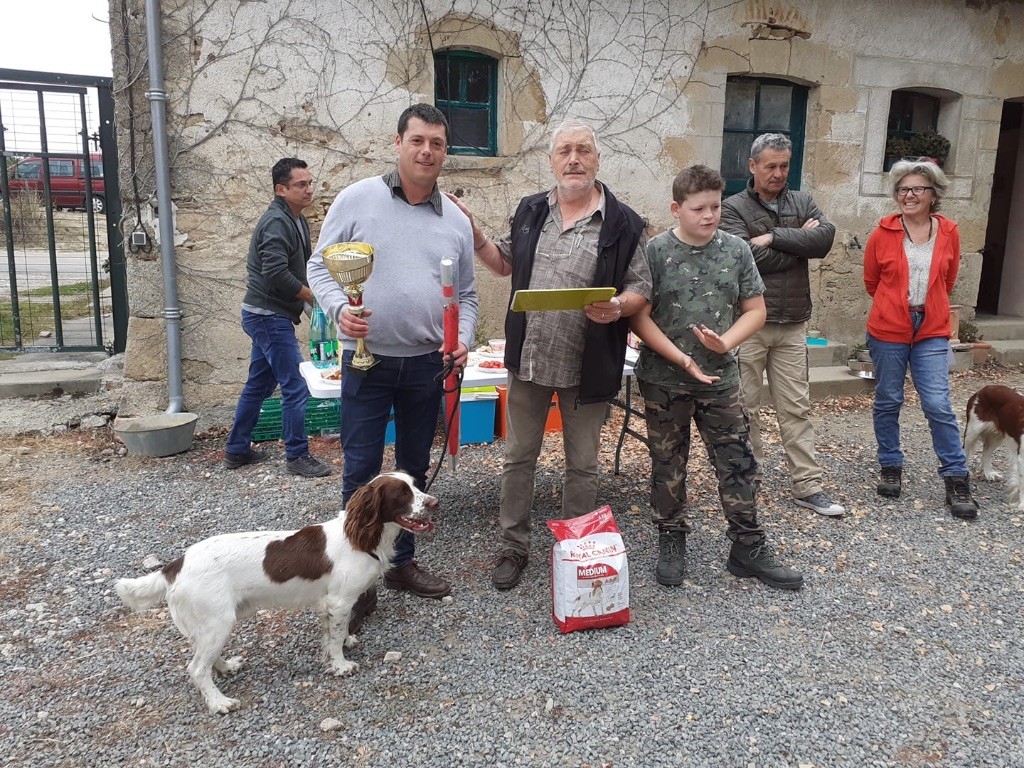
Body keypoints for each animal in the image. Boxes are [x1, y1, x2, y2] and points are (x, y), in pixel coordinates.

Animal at [116, 473, 436, 720]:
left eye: (415, 484)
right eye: (402, 493)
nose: (434, 502)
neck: (361, 538)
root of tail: (175, 565)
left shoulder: (332, 603)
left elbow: (336, 631)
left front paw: (345, 643)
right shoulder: (340, 600)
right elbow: (334, 639)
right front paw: (341, 665)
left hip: (212, 623)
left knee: (205, 657)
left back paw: (226, 667)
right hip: (218, 620)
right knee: (196, 669)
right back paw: (219, 703)